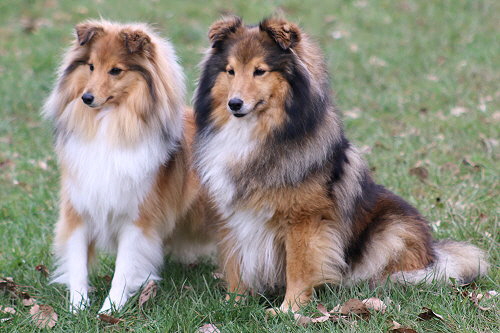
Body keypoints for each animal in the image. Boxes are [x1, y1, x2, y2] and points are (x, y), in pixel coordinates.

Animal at [43, 20, 215, 312]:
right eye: (91, 66)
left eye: (116, 70)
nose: (86, 98)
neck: (108, 125)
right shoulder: (78, 209)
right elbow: (77, 263)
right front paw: (78, 308)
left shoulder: (137, 219)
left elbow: (124, 269)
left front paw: (109, 309)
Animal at [192, 15, 488, 312]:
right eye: (230, 71)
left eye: (260, 71)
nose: (234, 103)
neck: (256, 133)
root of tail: (434, 251)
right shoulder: (232, 216)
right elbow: (235, 264)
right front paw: (233, 303)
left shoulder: (304, 220)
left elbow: (298, 267)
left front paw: (289, 309)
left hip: (393, 231)